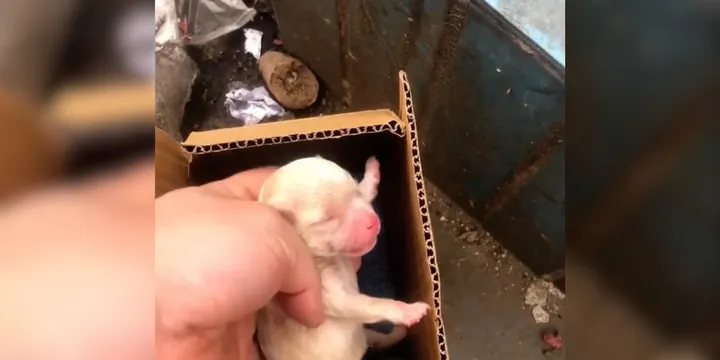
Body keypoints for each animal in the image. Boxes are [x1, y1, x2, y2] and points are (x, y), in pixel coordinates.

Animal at [258, 156, 430, 360]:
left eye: (355, 191)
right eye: (326, 219)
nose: (372, 222)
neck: (332, 259)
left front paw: (371, 172)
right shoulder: (328, 295)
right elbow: (370, 303)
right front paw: (410, 310)